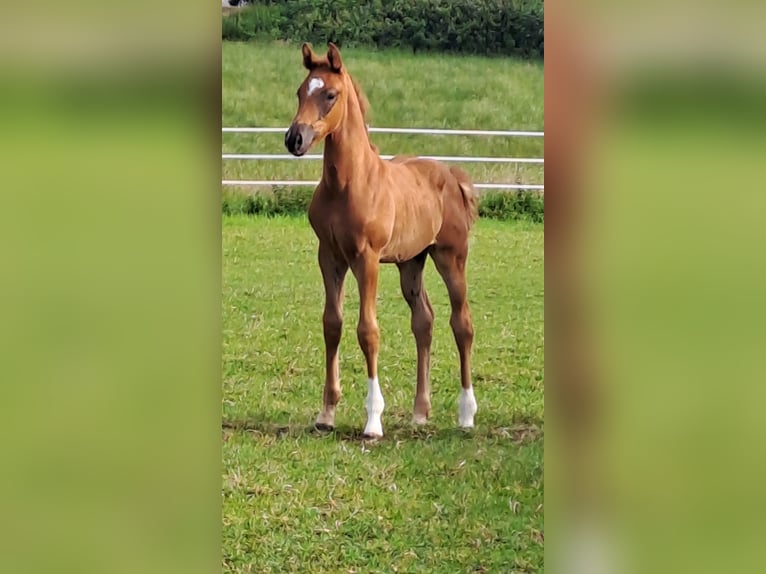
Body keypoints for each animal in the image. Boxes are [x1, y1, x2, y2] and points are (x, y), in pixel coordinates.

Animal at [286, 42, 480, 438]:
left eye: (330, 94)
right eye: (299, 92)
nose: (294, 139)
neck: (348, 183)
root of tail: (451, 175)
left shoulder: (367, 258)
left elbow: (368, 330)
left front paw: (373, 420)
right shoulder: (329, 256)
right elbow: (332, 324)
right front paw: (326, 414)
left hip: (451, 256)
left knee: (462, 324)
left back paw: (466, 414)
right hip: (411, 262)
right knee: (424, 321)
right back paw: (420, 412)